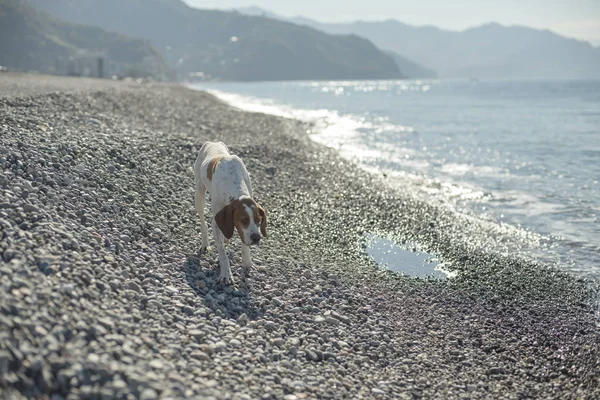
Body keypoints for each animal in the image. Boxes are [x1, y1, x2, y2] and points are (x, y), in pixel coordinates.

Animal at [195, 141, 268, 284]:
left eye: (258, 220)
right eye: (244, 220)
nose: (256, 238)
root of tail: (212, 142)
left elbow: (244, 244)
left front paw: (247, 262)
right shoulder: (216, 222)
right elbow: (222, 253)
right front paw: (226, 274)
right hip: (199, 194)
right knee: (202, 221)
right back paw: (205, 244)